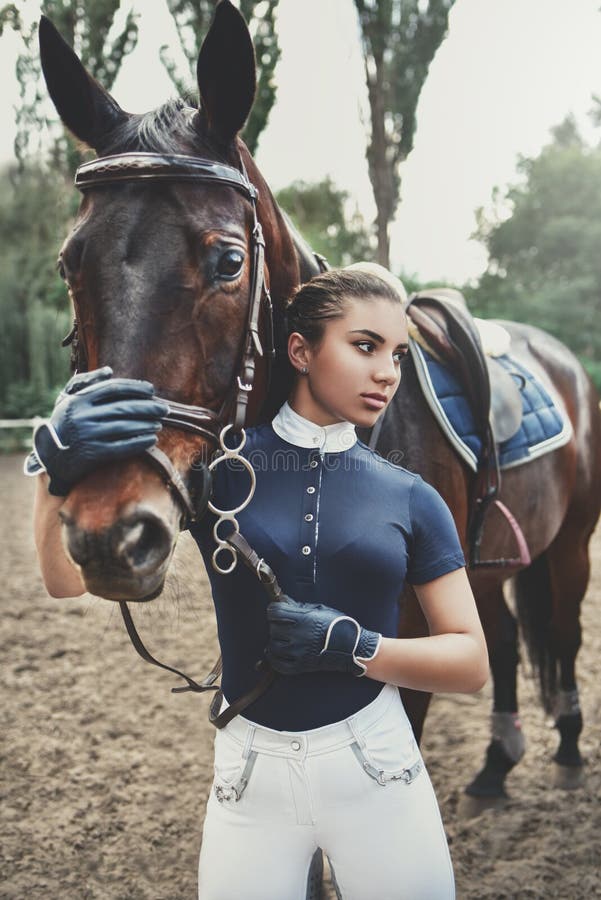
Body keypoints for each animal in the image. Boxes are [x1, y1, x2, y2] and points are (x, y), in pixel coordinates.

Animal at [38, 0, 600, 800]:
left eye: (228, 261)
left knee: (561, 630)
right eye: (69, 262)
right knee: (501, 635)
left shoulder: (403, 636)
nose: (108, 533)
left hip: (571, 543)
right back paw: (496, 765)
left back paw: (570, 745)